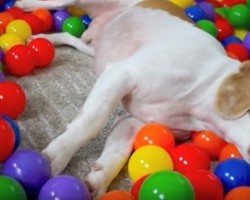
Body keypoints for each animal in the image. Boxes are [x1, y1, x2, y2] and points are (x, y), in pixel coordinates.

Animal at [14, 0, 250, 198]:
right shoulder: (121, 73)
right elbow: (90, 124)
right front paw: (55, 156)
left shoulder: (132, 121)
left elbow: (118, 151)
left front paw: (98, 180)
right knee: (55, 3)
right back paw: (25, 5)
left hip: (93, 49)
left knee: (69, 37)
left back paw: (45, 38)